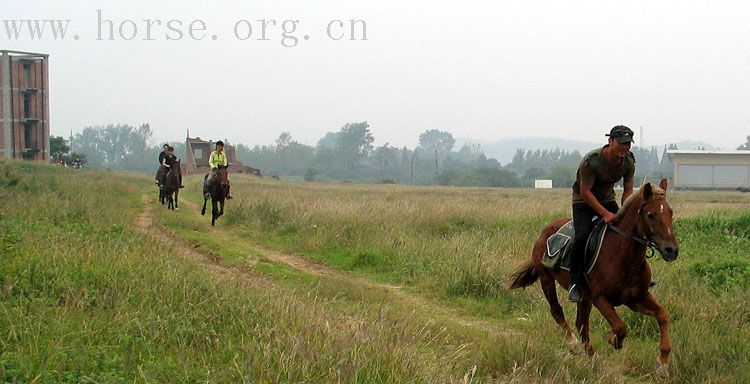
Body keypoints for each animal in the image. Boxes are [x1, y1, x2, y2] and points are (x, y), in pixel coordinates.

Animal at [512, 179, 680, 376]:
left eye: (670, 212)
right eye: (651, 215)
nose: (671, 250)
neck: (624, 256)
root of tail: (545, 232)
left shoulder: (636, 298)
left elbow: (663, 315)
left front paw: (662, 364)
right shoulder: (600, 298)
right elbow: (621, 327)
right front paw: (612, 340)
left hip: (584, 296)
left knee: (581, 324)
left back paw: (592, 359)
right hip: (547, 280)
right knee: (557, 312)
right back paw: (574, 345)